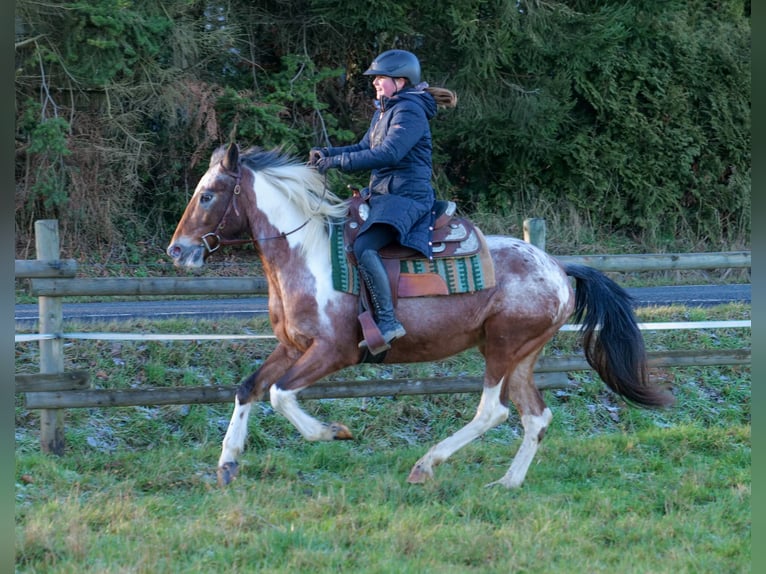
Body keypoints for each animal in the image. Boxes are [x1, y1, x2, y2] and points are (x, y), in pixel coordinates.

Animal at [166, 143, 672, 490]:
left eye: (208, 195)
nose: (177, 251)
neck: (305, 255)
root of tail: (561, 270)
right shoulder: (292, 346)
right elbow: (249, 387)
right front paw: (227, 462)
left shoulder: (333, 352)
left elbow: (280, 395)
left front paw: (334, 432)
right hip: (521, 355)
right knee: (536, 417)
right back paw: (507, 482)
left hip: (503, 349)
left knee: (492, 411)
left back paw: (427, 464)